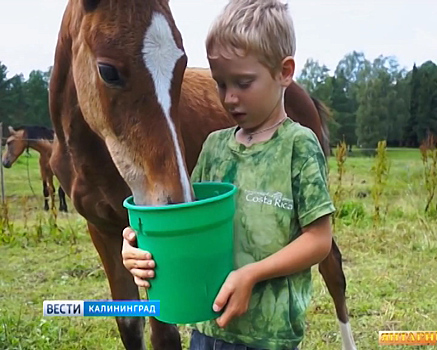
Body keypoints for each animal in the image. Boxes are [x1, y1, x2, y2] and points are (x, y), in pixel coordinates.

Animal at [47, 1, 354, 348]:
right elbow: (128, 324)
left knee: (332, 268)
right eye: (108, 71)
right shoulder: (101, 229)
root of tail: (303, 93)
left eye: (182, 65)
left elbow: (164, 333)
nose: (174, 199)